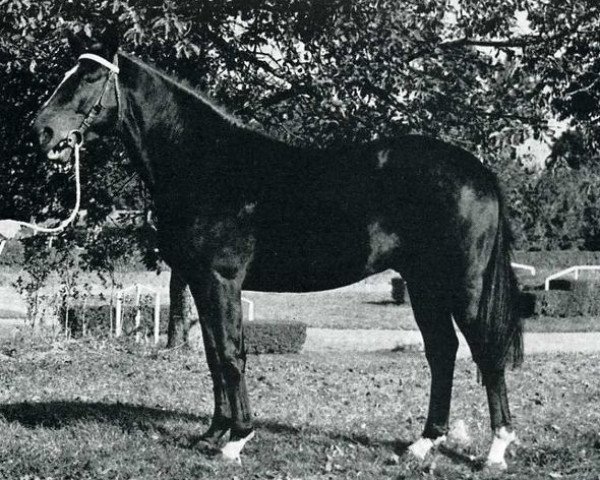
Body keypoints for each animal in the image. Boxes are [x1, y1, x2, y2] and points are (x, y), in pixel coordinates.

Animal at [31, 31, 520, 468]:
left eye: (90, 75)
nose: (43, 130)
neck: (206, 163)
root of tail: (478, 171)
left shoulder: (222, 280)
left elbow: (232, 354)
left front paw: (237, 440)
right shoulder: (200, 282)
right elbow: (214, 354)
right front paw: (214, 432)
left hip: (463, 286)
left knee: (485, 351)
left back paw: (497, 450)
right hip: (423, 284)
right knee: (442, 351)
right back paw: (423, 444)